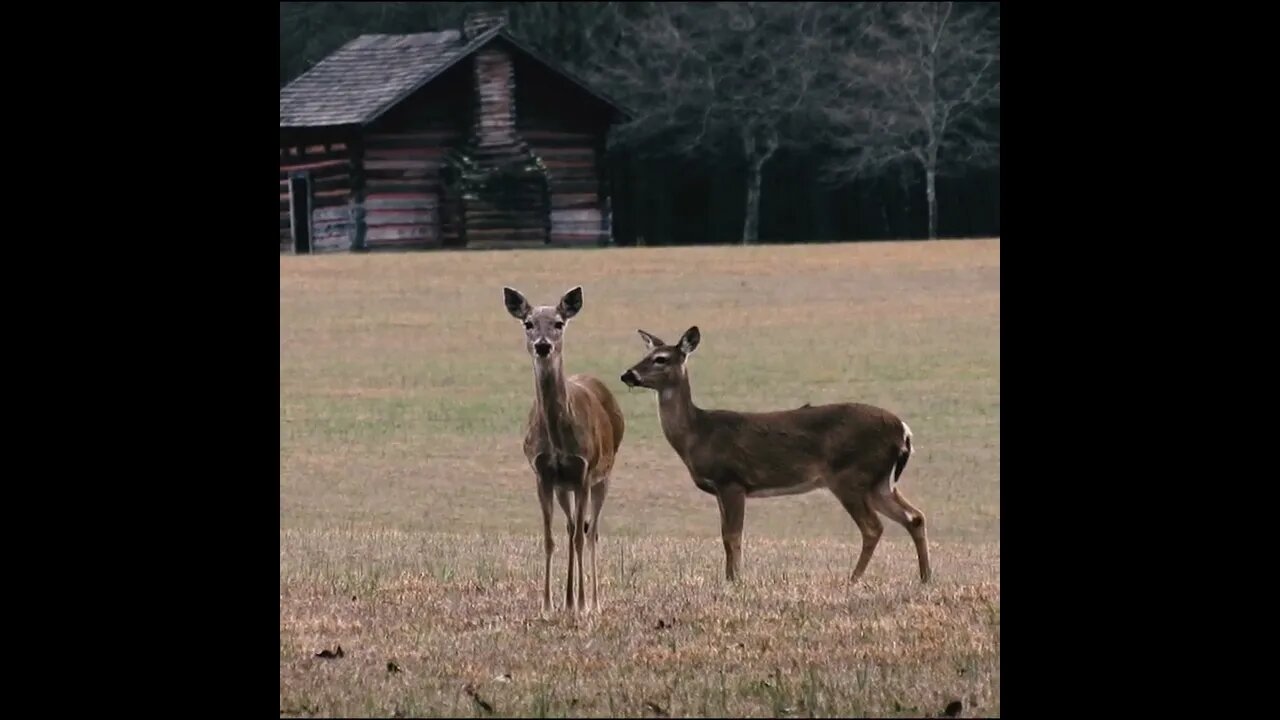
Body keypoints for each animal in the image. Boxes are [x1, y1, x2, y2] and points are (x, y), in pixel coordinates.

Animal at [503, 285, 625, 615]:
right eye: (528, 323)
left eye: (559, 323)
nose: (543, 345)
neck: (558, 440)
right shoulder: (543, 474)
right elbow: (549, 539)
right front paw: (548, 605)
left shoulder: (583, 470)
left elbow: (583, 539)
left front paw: (582, 605)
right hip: (564, 487)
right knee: (572, 528)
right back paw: (568, 601)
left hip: (604, 475)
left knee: (590, 532)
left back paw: (592, 602)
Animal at [619, 326, 930, 586]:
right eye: (645, 354)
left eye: (661, 359)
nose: (628, 375)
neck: (699, 434)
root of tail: (903, 431)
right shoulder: (720, 488)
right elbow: (725, 536)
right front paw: (729, 578)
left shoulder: (732, 480)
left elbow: (733, 536)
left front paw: (735, 581)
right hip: (879, 481)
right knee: (915, 517)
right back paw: (925, 577)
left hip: (851, 475)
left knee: (873, 527)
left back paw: (852, 579)